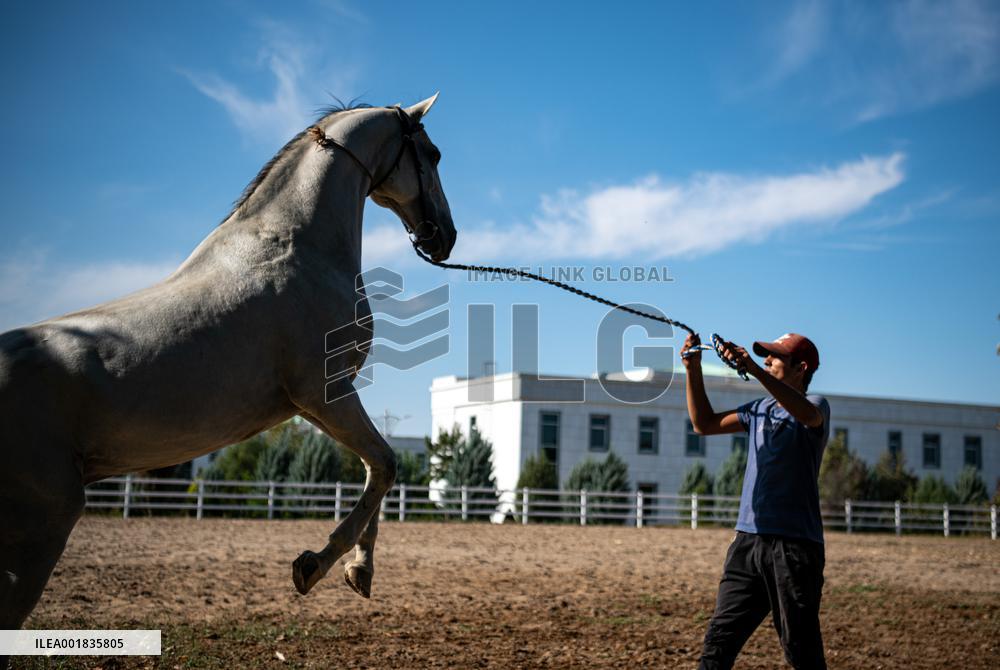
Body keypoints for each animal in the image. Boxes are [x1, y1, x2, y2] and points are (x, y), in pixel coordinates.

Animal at [0, 94, 455, 633]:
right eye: (433, 154)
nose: (445, 237)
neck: (297, 248)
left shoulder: (323, 402)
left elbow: (375, 466)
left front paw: (357, 571)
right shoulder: (324, 395)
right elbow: (384, 464)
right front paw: (318, 564)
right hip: (45, 521)